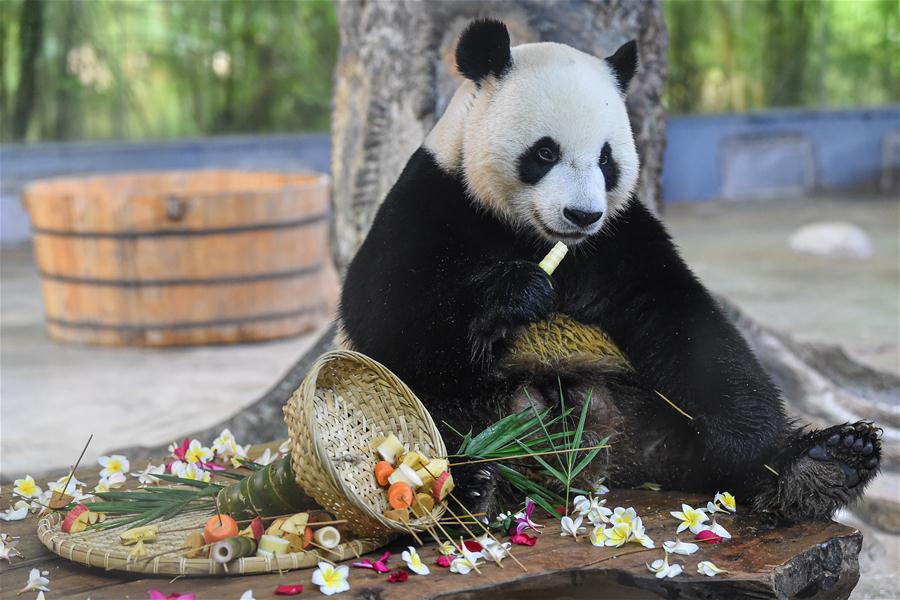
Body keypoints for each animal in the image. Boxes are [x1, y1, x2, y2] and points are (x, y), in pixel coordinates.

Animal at [338, 18, 880, 524]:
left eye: (606, 159)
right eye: (545, 152)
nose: (581, 215)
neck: (531, 234)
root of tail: (604, 463)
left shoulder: (620, 239)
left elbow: (682, 318)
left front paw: (759, 441)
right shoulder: (433, 199)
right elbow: (387, 314)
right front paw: (516, 295)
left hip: (647, 407)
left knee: (714, 456)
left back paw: (823, 464)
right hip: (474, 406)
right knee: (428, 407)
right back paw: (471, 483)